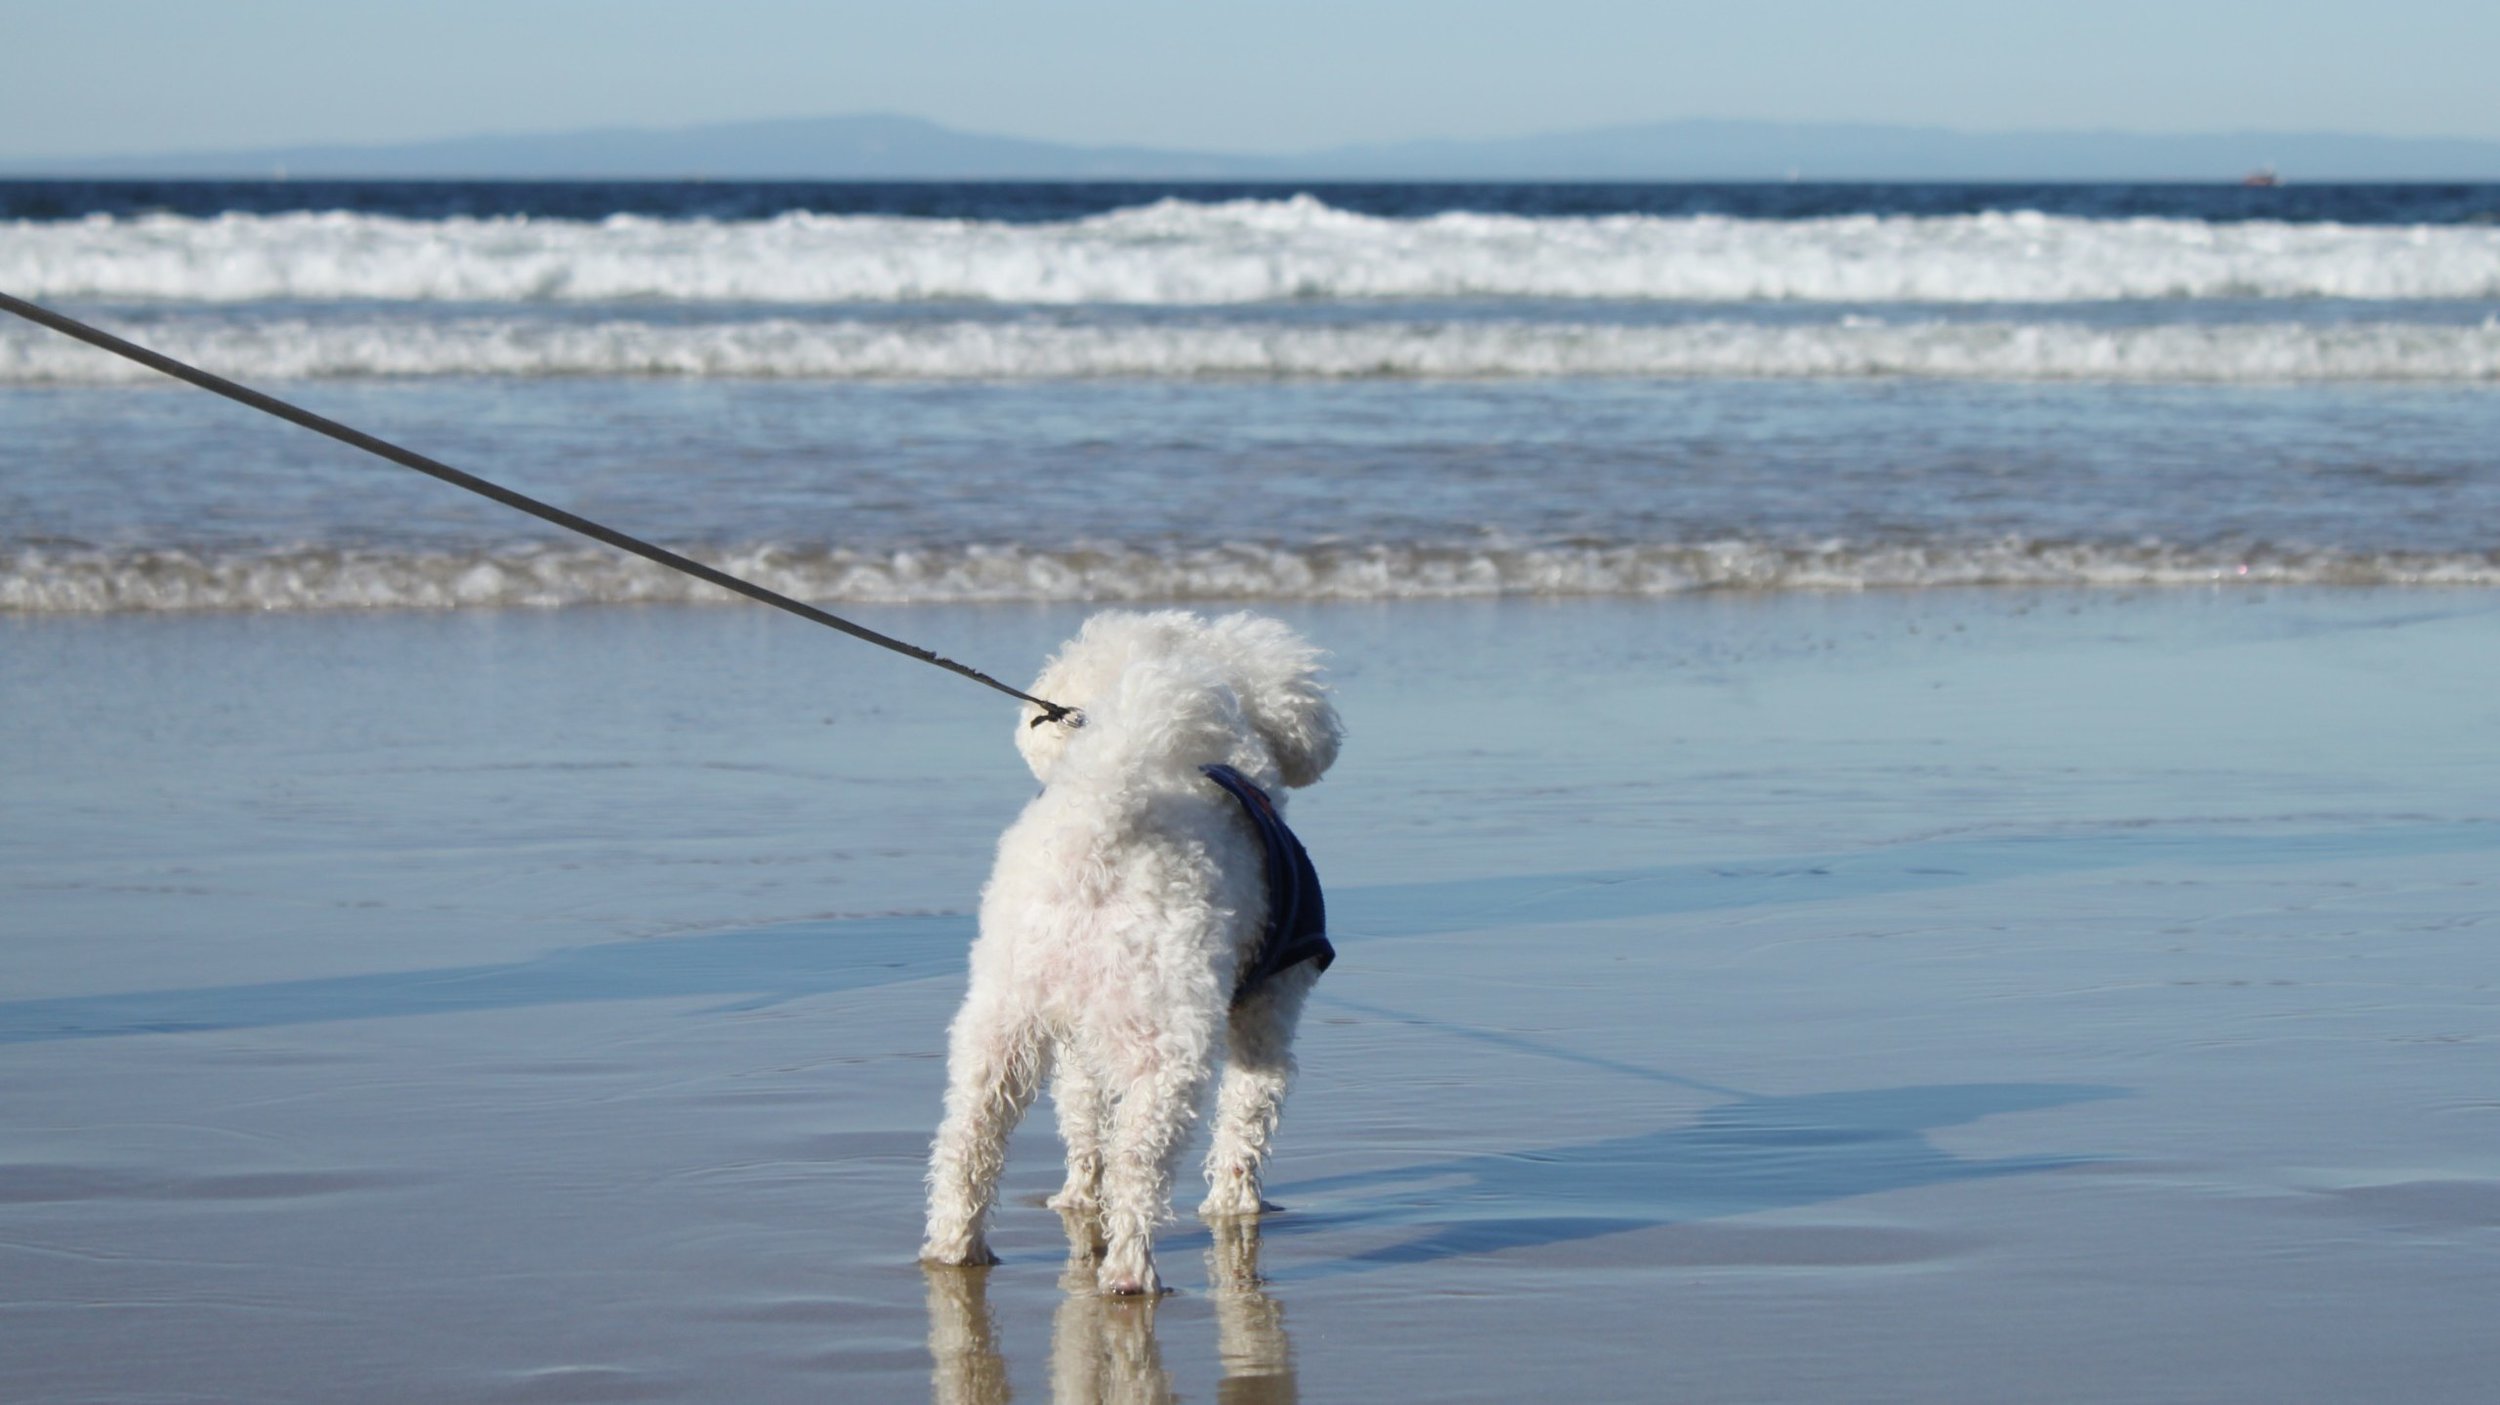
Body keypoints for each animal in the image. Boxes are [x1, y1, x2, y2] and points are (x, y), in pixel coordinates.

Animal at [925, 610, 1350, 1290]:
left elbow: (1082, 1119)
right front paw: (1236, 1206)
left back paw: (954, 1250)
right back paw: (1129, 1273)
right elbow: (1248, 1113)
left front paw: (1078, 1198)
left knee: (968, 1139)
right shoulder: (1272, 1003)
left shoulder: (1076, 1040)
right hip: (1165, 1044)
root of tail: (1097, 831)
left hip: (1000, 1021)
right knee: (1137, 1165)